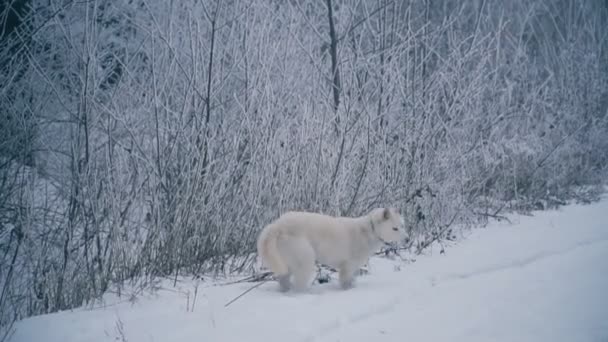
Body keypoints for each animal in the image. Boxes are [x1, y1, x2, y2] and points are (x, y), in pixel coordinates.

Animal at [255, 207, 404, 292]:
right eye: (395, 228)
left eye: (402, 226)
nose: (407, 239)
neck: (370, 230)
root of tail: (277, 225)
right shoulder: (348, 265)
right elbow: (345, 281)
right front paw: (348, 290)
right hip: (305, 258)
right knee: (299, 282)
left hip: (286, 261)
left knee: (283, 278)